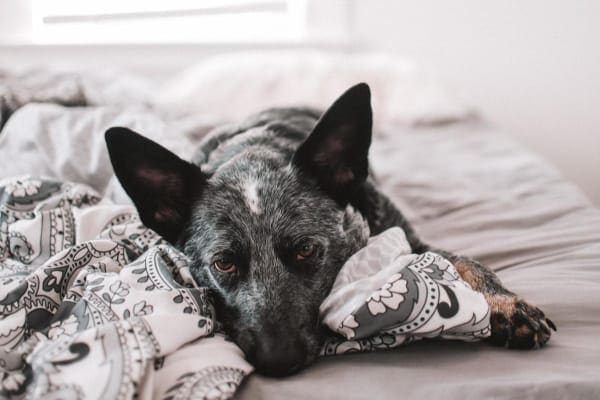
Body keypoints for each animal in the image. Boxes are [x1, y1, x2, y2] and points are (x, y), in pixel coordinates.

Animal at [104, 83, 556, 376]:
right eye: (224, 264)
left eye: (306, 250)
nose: (278, 361)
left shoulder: (411, 239)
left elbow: (468, 262)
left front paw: (506, 304)